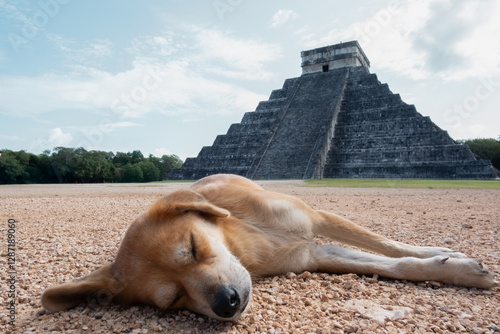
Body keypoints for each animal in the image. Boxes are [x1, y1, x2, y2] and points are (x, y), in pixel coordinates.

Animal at [41, 174, 498, 320]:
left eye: (192, 247)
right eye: (173, 301)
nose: (225, 303)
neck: (250, 244)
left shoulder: (315, 218)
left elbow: (389, 246)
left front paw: (453, 260)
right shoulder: (315, 256)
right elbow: (392, 265)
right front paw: (451, 269)